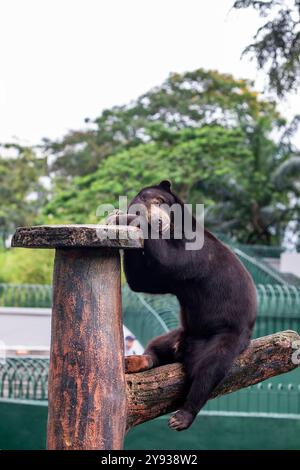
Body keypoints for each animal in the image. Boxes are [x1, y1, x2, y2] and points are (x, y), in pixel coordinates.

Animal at [106, 182, 256, 432]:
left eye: (158, 201)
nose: (158, 221)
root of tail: (185, 348)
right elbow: (142, 281)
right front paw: (119, 217)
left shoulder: (195, 251)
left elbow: (168, 260)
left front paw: (123, 218)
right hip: (178, 332)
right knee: (156, 347)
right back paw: (135, 361)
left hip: (225, 335)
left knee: (209, 370)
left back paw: (182, 416)